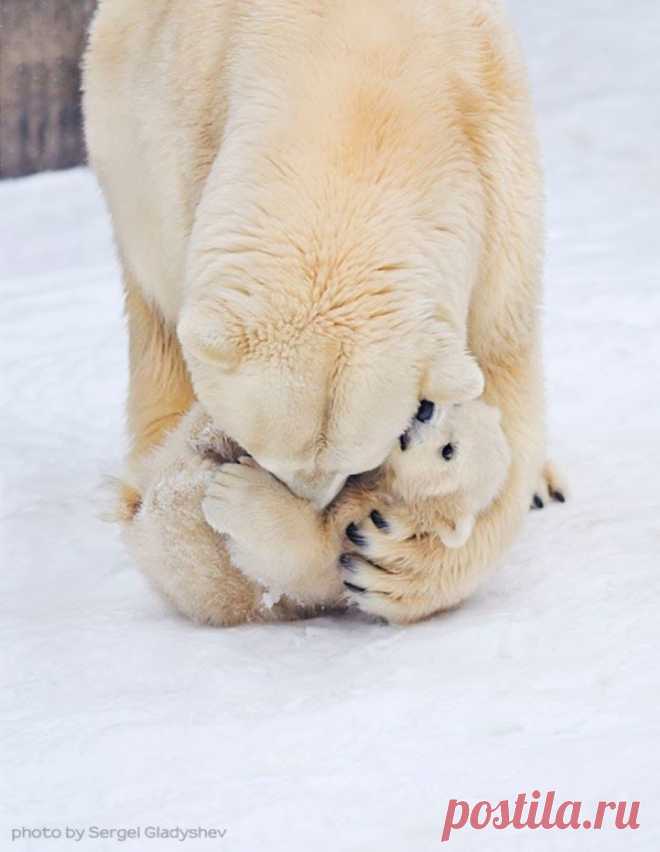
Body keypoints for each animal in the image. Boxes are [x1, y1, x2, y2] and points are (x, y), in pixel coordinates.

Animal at [85, 0, 564, 624]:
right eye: (266, 452)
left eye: (354, 462)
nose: (312, 501)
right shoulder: (186, 140)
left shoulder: (495, 179)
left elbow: (502, 381)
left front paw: (391, 560)